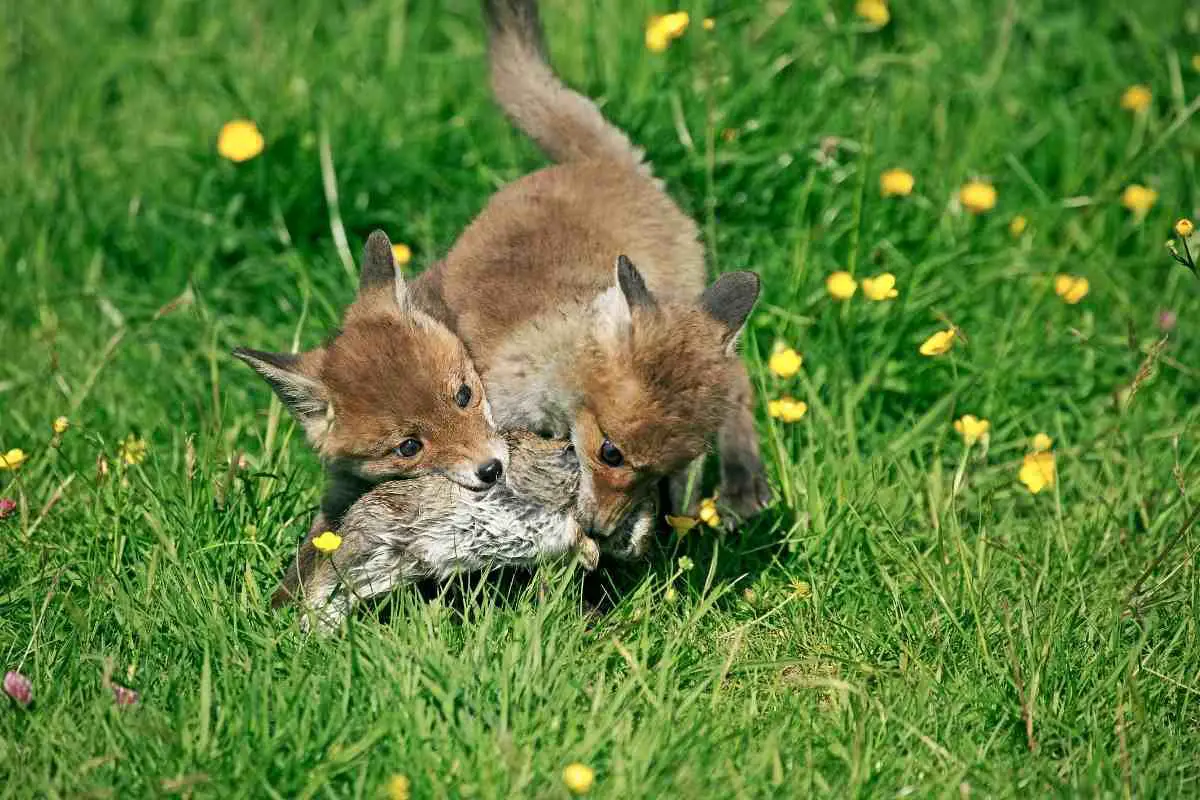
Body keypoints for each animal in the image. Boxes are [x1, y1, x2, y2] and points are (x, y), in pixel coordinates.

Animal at [406, 0, 771, 539]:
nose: (602, 530)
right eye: (611, 452)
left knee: (742, 380)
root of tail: (606, 163)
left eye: (663, 471)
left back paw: (744, 482)